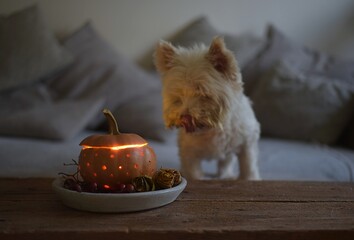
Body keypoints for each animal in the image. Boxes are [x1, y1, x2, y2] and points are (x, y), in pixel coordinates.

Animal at [154, 37, 260, 180]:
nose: (185, 118)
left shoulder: (247, 142)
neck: (212, 130)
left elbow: (248, 166)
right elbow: (194, 174)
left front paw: (250, 178)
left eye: (203, 94)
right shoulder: (188, 153)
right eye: (178, 97)